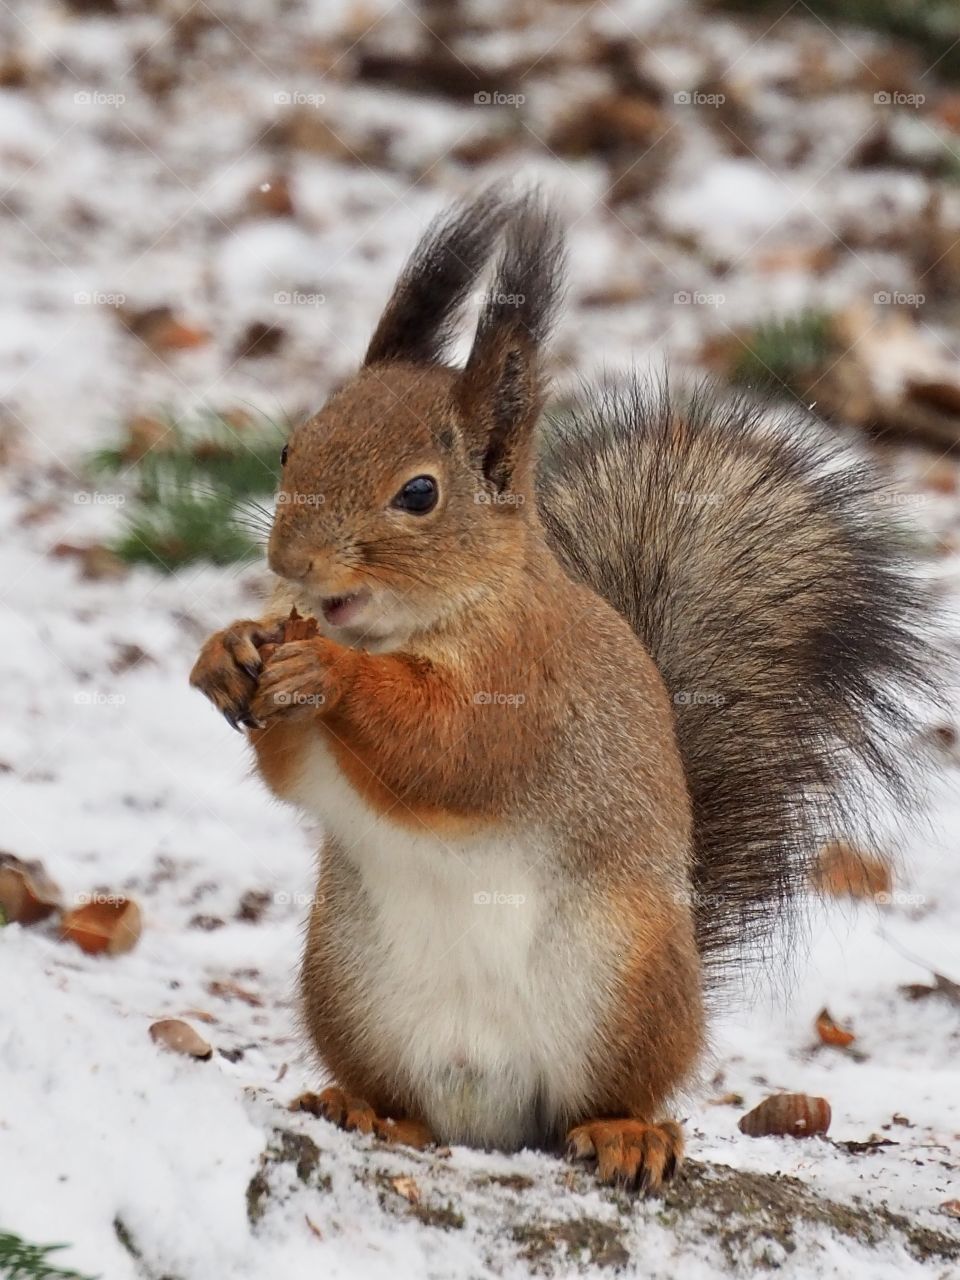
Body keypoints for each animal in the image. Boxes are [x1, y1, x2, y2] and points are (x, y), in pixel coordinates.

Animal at [190, 191, 931, 1191]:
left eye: (418, 494)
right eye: (287, 449)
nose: (291, 563)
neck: (419, 622)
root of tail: (489, 1112)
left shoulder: (525, 686)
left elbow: (449, 752)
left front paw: (332, 675)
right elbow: (290, 768)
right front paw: (228, 649)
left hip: (624, 979)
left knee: (603, 1098)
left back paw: (627, 1134)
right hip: (344, 981)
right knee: (407, 1101)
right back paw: (366, 1109)